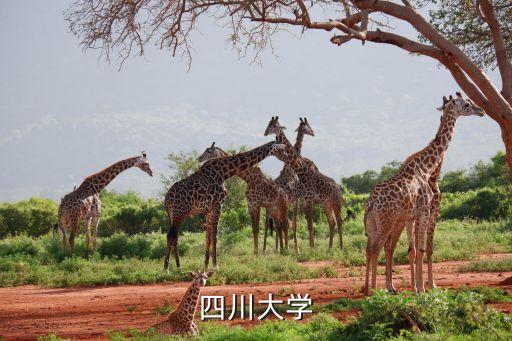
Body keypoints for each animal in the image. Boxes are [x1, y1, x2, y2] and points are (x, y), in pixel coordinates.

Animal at [164, 139, 286, 270]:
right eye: (277, 146)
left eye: (208, 151)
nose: (284, 149)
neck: (224, 172)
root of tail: (166, 200)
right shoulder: (218, 205)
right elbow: (215, 236)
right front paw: (215, 266)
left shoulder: (209, 210)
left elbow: (208, 237)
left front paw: (206, 265)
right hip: (180, 213)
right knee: (171, 235)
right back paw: (167, 268)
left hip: (173, 214)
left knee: (174, 235)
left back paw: (178, 266)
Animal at [264, 116, 344, 250]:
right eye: (309, 126)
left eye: (273, 125)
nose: (313, 132)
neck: (301, 171)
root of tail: (339, 189)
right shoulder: (303, 200)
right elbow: (304, 224)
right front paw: (307, 248)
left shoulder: (304, 200)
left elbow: (304, 224)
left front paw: (308, 248)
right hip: (326, 204)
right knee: (332, 222)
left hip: (334, 203)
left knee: (338, 221)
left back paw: (339, 248)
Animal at [364, 91, 484, 294]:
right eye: (467, 104)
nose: (481, 110)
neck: (427, 168)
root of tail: (371, 203)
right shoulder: (426, 211)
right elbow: (421, 249)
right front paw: (422, 289)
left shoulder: (413, 215)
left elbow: (414, 250)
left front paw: (418, 288)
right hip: (387, 221)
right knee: (377, 249)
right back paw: (375, 291)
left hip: (374, 223)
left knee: (370, 249)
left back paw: (368, 289)